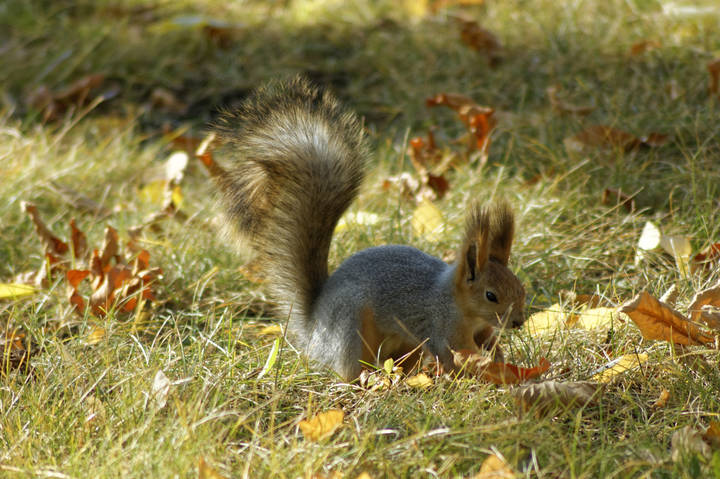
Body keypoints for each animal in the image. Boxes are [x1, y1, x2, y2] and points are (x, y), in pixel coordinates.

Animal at [213, 76, 526, 380]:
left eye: (520, 287)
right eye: (490, 295)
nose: (518, 322)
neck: (459, 303)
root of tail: (314, 334)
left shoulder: (478, 329)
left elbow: (487, 340)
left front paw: (498, 356)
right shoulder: (440, 326)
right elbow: (449, 356)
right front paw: (467, 375)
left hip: (404, 345)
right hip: (350, 326)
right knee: (347, 370)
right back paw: (366, 380)